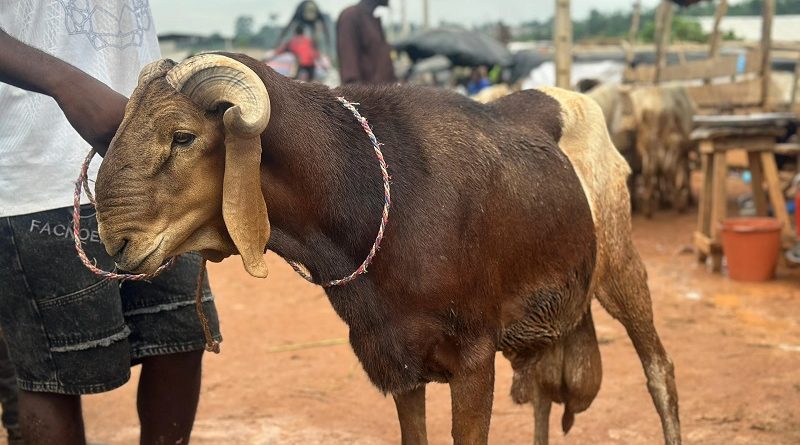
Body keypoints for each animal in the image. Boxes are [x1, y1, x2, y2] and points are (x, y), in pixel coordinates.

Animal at [94, 53, 681, 445]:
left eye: (183, 136)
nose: (117, 242)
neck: (377, 194)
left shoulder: (474, 357)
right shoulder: (397, 362)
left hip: (621, 265)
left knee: (659, 372)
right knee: (539, 393)